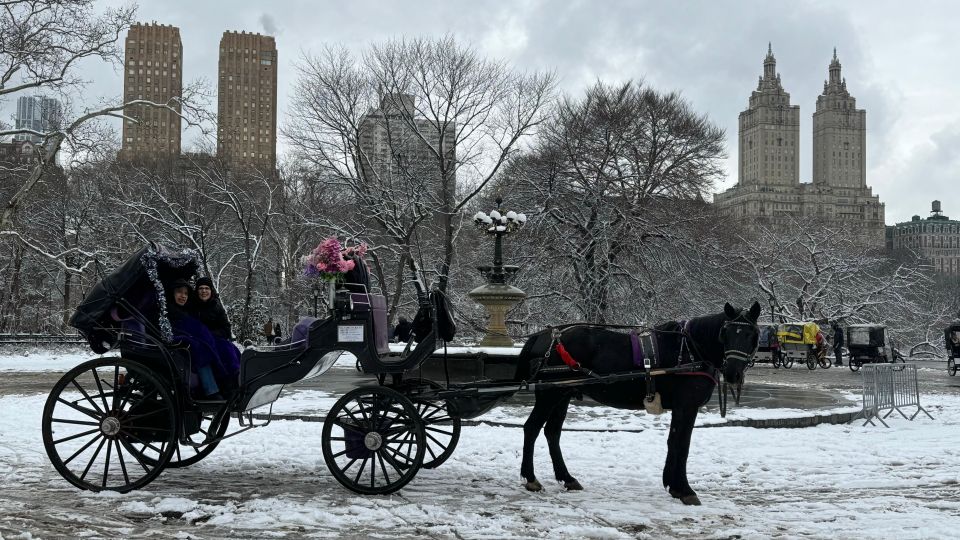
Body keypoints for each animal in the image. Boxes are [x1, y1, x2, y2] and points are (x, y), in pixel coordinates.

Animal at [512, 302, 760, 504]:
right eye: (726, 332)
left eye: (751, 334)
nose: (733, 372)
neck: (690, 350)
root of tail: (544, 336)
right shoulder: (686, 407)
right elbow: (682, 445)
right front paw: (685, 489)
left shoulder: (680, 409)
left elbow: (673, 442)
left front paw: (672, 485)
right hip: (550, 395)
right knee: (531, 428)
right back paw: (531, 478)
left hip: (562, 395)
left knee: (552, 432)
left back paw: (567, 478)